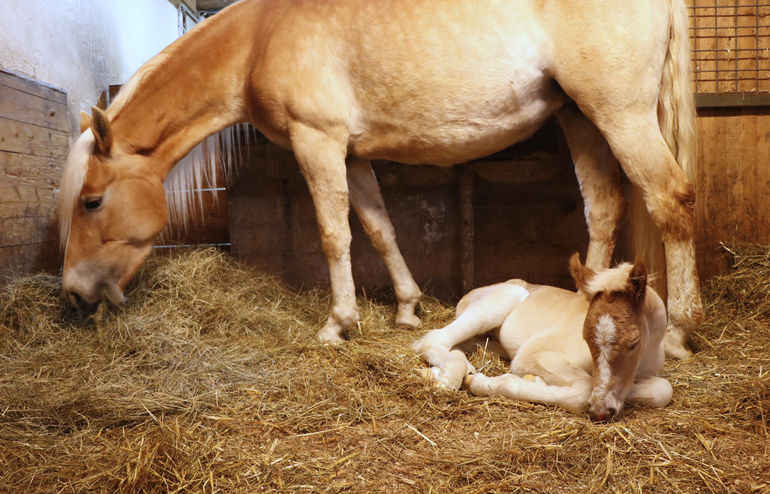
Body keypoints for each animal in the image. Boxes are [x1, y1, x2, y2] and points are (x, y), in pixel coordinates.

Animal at [58, 0, 696, 356]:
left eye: (91, 201)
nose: (73, 292)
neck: (258, 39)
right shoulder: (351, 154)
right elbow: (379, 228)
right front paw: (407, 308)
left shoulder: (316, 141)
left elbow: (333, 234)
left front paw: (339, 323)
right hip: (579, 116)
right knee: (605, 207)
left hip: (619, 114)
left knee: (672, 201)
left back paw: (684, 329)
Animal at [412, 255, 668, 420]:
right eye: (584, 338)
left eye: (634, 342)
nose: (601, 411)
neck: (646, 353)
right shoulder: (534, 353)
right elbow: (583, 389)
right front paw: (485, 382)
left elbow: (662, 390)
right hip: (505, 297)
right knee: (433, 339)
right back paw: (447, 380)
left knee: (461, 345)